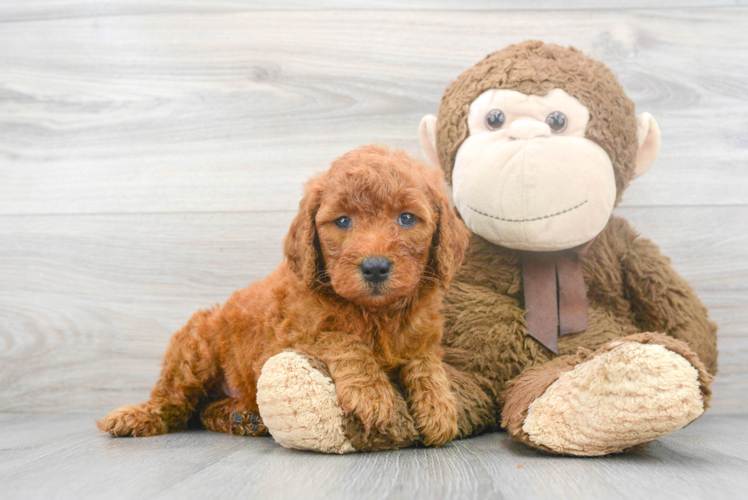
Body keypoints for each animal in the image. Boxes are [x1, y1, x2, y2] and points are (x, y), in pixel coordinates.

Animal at [94, 144, 468, 446]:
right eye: (343, 221)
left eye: (406, 218)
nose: (375, 267)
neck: (376, 313)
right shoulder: (291, 335)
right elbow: (343, 340)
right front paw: (372, 394)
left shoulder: (422, 332)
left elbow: (424, 359)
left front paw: (438, 406)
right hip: (196, 346)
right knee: (173, 400)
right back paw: (137, 416)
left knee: (203, 410)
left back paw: (241, 417)